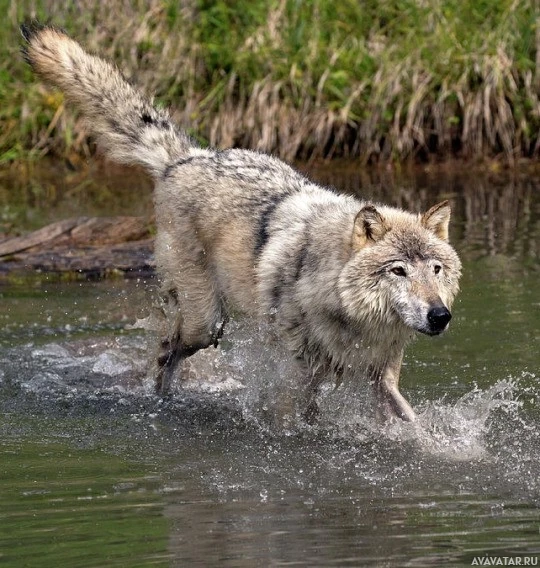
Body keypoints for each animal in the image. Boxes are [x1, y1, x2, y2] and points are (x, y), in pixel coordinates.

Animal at [21, 23, 460, 422]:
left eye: (436, 269)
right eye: (398, 270)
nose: (440, 315)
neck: (344, 309)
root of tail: (187, 156)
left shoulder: (381, 378)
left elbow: (412, 425)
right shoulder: (299, 373)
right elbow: (296, 417)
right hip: (205, 323)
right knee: (164, 350)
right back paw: (160, 401)